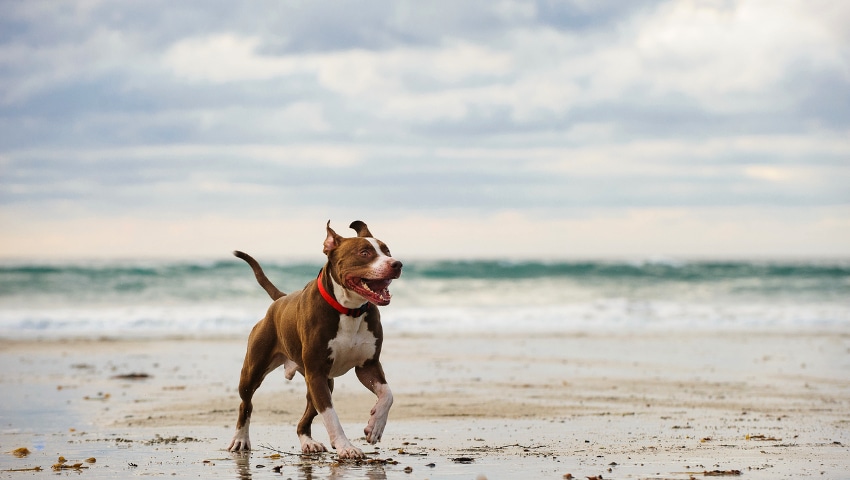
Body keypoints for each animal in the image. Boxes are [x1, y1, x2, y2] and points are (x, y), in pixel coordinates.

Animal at [224, 219, 400, 460]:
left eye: (387, 251)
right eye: (364, 253)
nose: (397, 264)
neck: (348, 310)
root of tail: (279, 300)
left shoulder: (368, 366)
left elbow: (387, 394)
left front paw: (375, 426)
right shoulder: (316, 373)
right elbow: (331, 415)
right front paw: (346, 446)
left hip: (322, 380)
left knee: (304, 419)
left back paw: (308, 442)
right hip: (254, 371)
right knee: (246, 403)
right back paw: (241, 439)